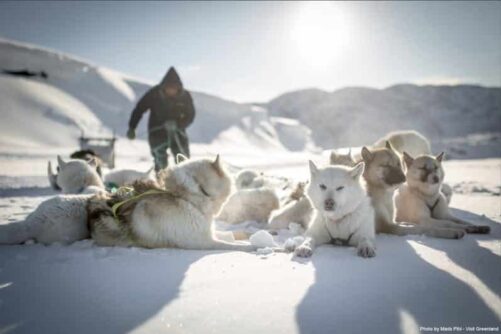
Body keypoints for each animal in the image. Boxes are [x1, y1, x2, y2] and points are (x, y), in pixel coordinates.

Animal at [86, 154, 256, 250]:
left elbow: (231, 234)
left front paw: (251, 234)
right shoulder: (201, 241)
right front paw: (254, 246)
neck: (187, 197)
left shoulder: (205, 232)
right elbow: (233, 246)